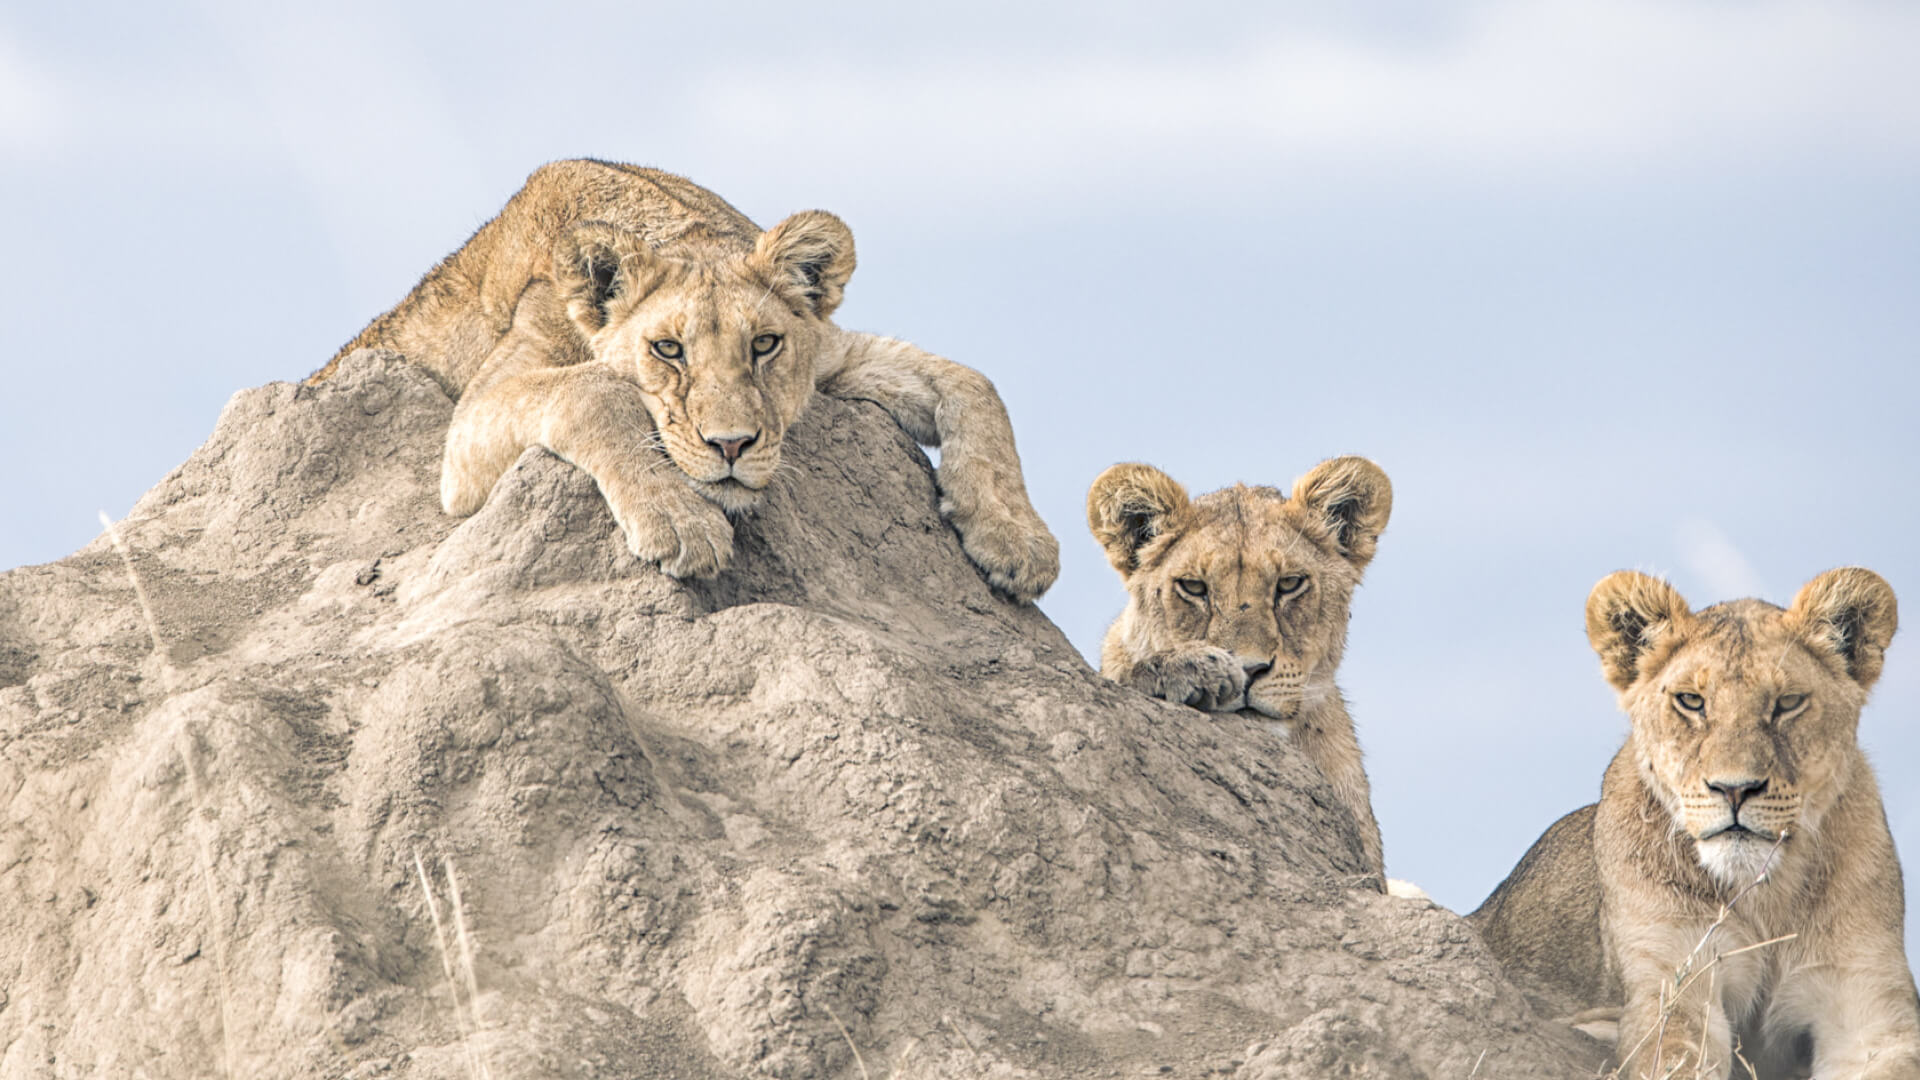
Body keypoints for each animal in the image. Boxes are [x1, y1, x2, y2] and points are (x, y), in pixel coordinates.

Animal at [310, 159, 1058, 600]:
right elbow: (596, 388)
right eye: (667, 349)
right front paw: (680, 521)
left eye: (765, 344)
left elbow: (974, 384)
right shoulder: (470, 428)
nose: (732, 446)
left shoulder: (830, 354)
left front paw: (1017, 541)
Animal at [1471, 568, 1920, 1079]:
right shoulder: (1671, 983)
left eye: (1787, 702)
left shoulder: (1870, 1007)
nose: (1735, 789)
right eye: (1691, 701)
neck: (1766, 896)